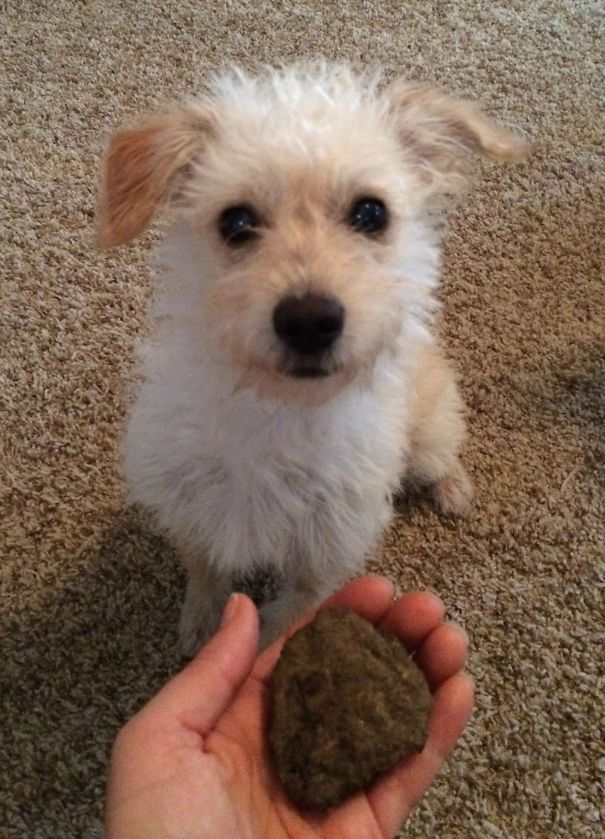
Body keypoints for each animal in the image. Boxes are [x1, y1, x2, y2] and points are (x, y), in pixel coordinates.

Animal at [96, 64, 528, 656]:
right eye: (236, 221)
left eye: (371, 212)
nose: (308, 320)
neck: (279, 410)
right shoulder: (192, 502)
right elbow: (203, 566)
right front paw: (202, 627)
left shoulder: (329, 544)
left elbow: (294, 608)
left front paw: (259, 648)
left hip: (427, 437)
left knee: (442, 455)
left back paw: (454, 489)